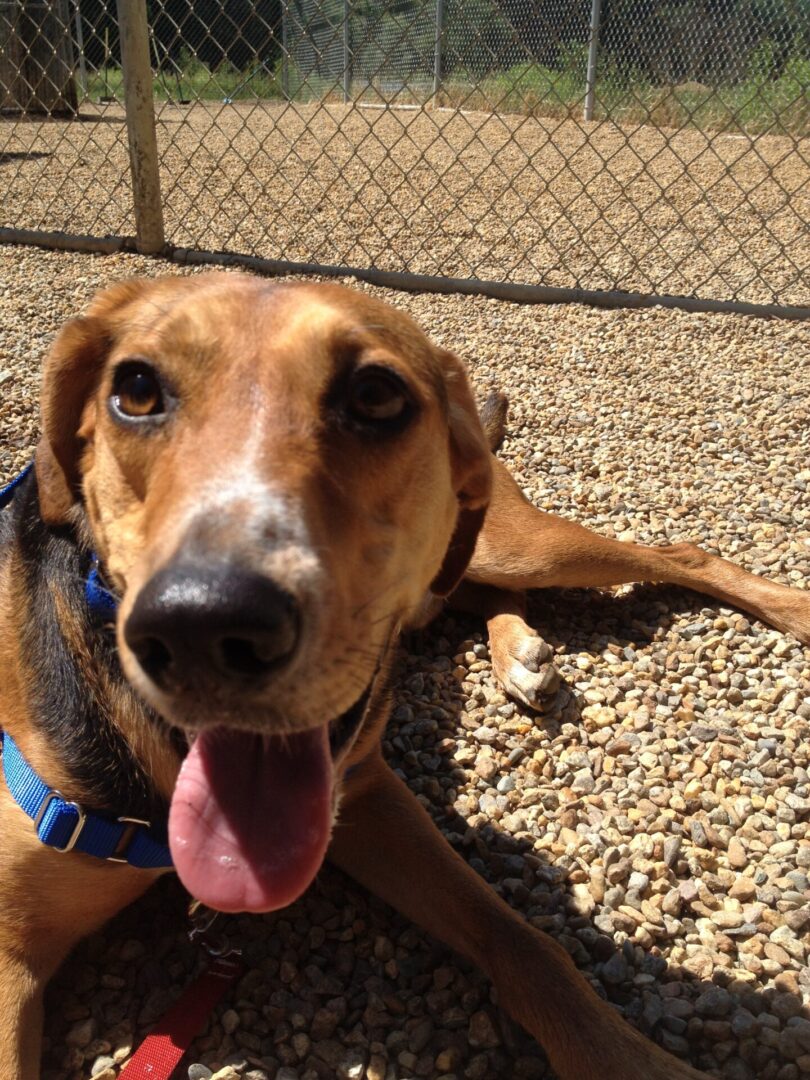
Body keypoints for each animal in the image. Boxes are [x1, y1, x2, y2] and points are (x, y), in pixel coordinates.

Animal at [0, 274, 807, 1075]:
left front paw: (626, 1057)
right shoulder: (12, 959)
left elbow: (525, 942)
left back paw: (789, 609)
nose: (203, 626)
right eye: (136, 390)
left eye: (376, 395)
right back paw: (521, 653)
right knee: (492, 597)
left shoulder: (366, 794)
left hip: (517, 545)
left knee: (678, 554)